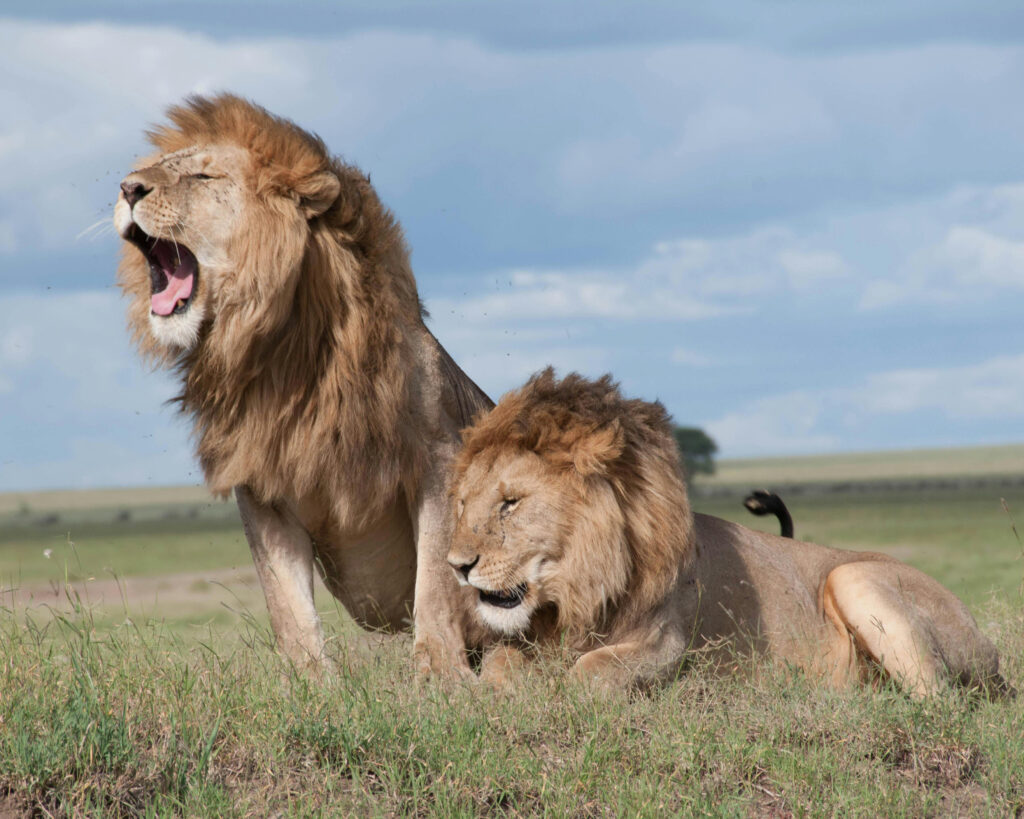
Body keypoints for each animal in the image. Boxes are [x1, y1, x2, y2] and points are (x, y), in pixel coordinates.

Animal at [115, 94, 492, 676]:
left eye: (202, 176)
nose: (127, 188)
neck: (282, 355)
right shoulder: (261, 483)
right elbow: (287, 604)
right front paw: (312, 684)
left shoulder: (439, 458)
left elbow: (435, 583)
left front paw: (440, 677)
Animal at [447, 369, 1010, 697]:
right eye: (463, 503)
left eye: (511, 503)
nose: (456, 566)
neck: (576, 591)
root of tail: (990, 649)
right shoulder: (523, 639)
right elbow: (499, 663)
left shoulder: (668, 644)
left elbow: (591, 671)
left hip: (854, 576)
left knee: (939, 702)